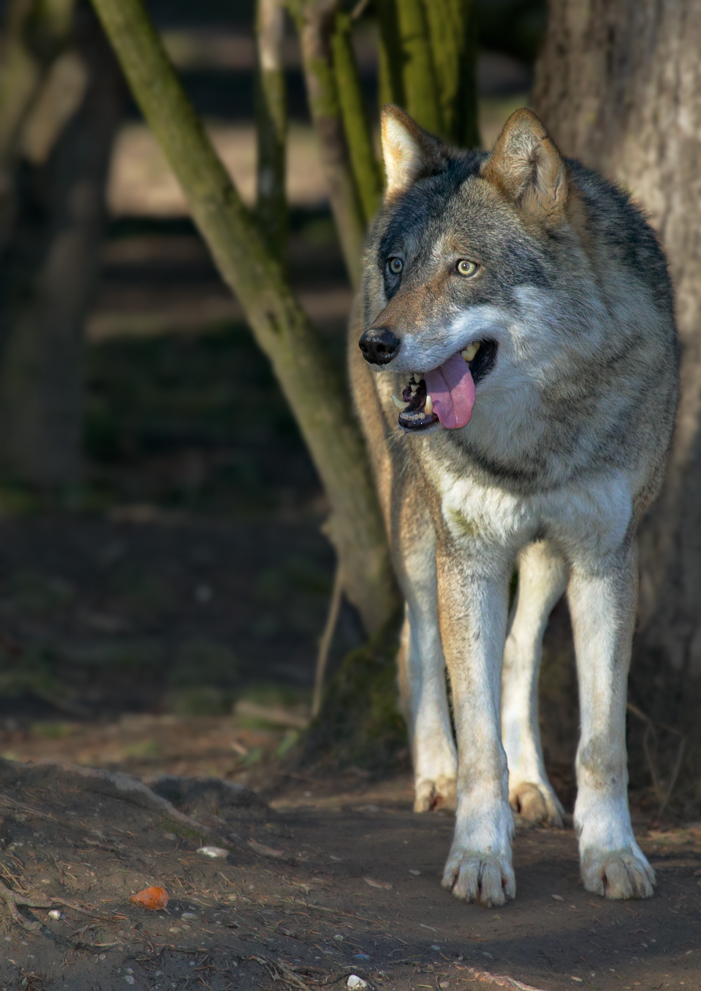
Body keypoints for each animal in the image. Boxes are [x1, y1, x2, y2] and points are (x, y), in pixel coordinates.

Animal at [350, 106, 680, 908]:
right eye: (399, 267)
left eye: (464, 268)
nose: (378, 344)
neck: (533, 439)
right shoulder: (466, 555)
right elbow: (478, 743)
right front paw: (477, 855)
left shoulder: (604, 558)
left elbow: (600, 742)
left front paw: (611, 853)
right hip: (418, 536)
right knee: (418, 643)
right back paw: (435, 774)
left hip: (545, 560)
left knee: (518, 650)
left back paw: (532, 784)